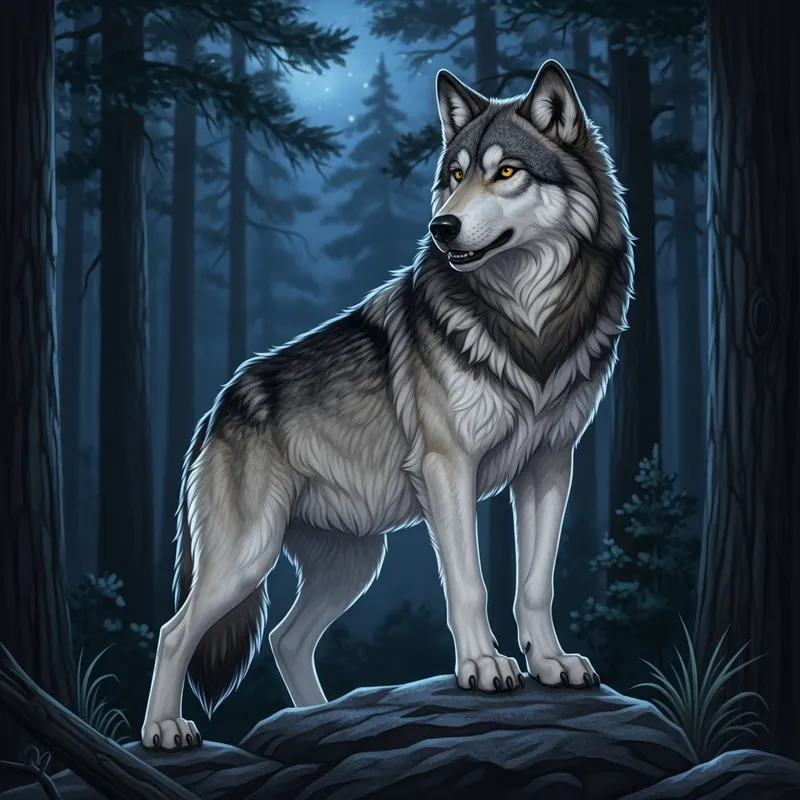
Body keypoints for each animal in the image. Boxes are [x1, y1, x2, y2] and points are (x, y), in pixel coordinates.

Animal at [141, 59, 633, 750]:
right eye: (455, 175)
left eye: (507, 172)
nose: (441, 227)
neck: (530, 325)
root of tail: (218, 408)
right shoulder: (448, 469)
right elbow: (470, 582)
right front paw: (483, 666)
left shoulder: (550, 464)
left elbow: (535, 583)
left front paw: (551, 664)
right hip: (247, 557)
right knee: (174, 631)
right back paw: (165, 729)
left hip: (353, 563)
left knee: (286, 639)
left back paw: (317, 719)